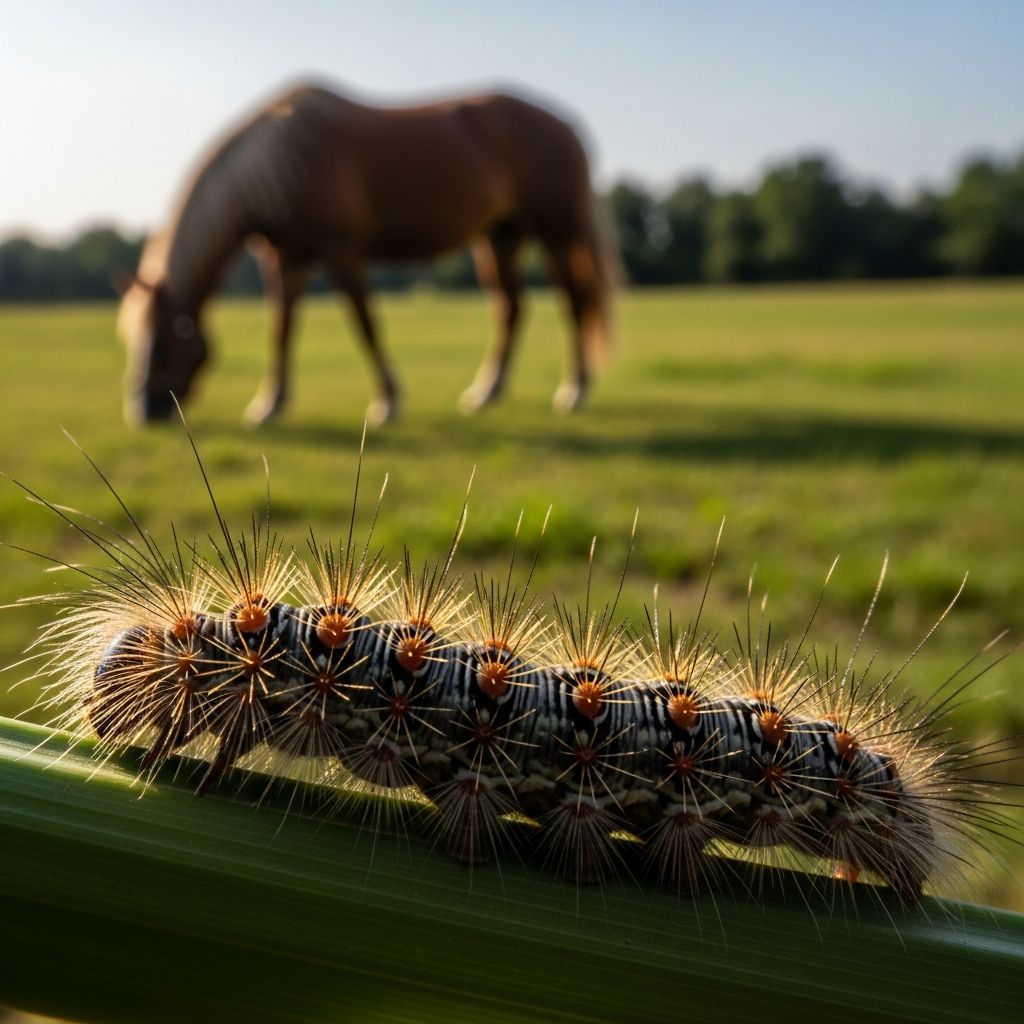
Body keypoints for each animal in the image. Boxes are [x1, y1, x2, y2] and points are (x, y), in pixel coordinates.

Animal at [117, 81, 613, 425]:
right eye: (134, 337)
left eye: (166, 339)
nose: (143, 412)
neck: (286, 162)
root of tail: (565, 124)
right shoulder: (285, 260)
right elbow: (281, 330)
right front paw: (269, 404)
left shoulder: (342, 252)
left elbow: (365, 324)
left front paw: (387, 403)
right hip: (500, 236)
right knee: (511, 309)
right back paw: (485, 393)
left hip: (556, 232)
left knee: (574, 303)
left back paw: (573, 392)